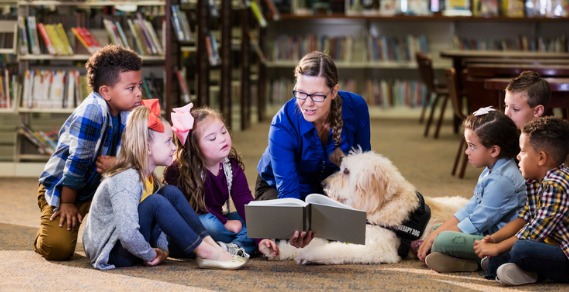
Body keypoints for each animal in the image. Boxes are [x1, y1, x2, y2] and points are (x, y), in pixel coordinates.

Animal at [270, 151, 466, 264]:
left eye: (346, 171)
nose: (323, 183)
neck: (382, 205)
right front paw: (278, 249)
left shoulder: (378, 249)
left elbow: (339, 249)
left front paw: (309, 254)